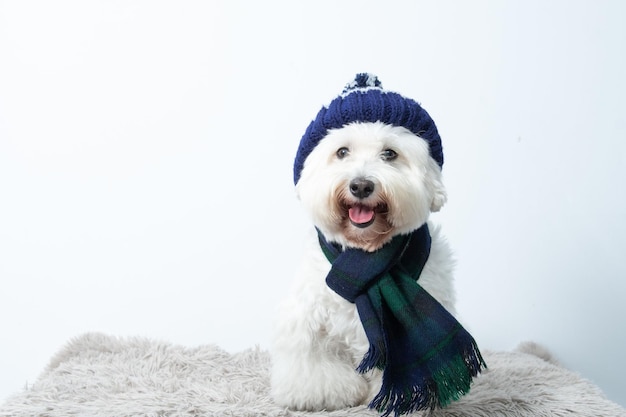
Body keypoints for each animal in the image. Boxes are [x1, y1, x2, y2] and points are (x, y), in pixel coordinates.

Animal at [268, 75, 468, 412]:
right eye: (342, 151)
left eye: (390, 154)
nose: (361, 185)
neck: (366, 254)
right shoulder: (309, 318)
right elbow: (314, 362)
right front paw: (324, 394)